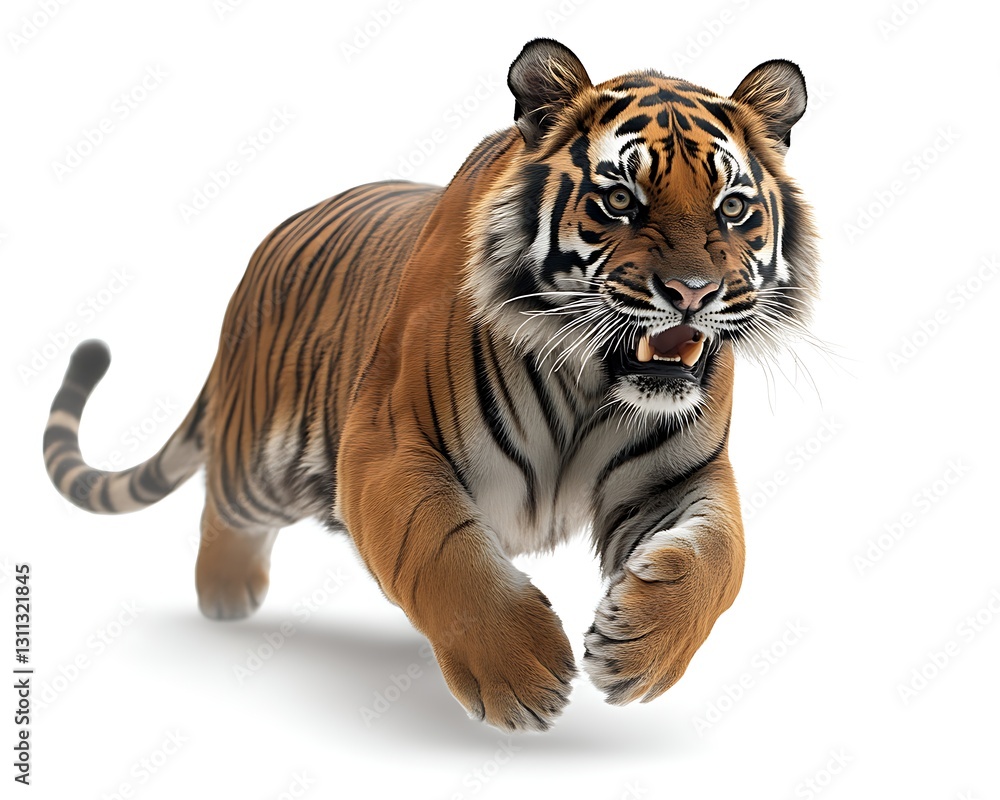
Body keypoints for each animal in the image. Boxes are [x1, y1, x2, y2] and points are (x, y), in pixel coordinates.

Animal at [43, 38, 818, 732]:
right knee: (220, 507)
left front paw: (640, 652)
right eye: (620, 200)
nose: (693, 293)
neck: (591, 379)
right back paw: (225, 596)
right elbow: (444, 555)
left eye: (733, 208)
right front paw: (520, 674)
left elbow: (720, 560)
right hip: (259, 464)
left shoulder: (684, 474)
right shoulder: (386, 447)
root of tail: (264, 250)